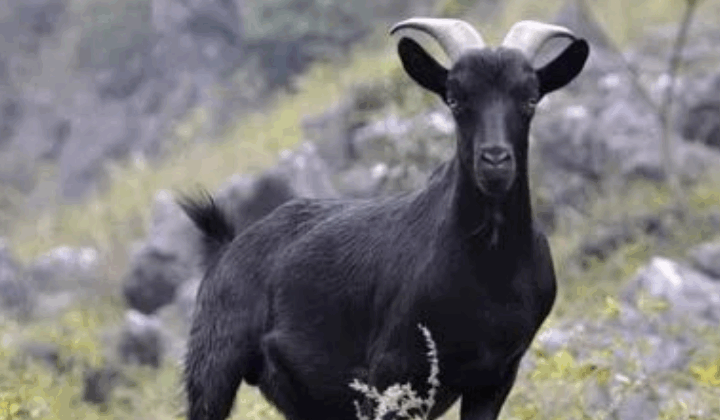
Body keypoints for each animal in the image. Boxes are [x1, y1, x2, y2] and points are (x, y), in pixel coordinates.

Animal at [178, 17, 590, 420]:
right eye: (454, 99)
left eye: (530, 99)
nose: (494, 161)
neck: (490, 270)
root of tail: (227, 245)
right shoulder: (390, 373)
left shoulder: (496, 377)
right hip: (214, 365)